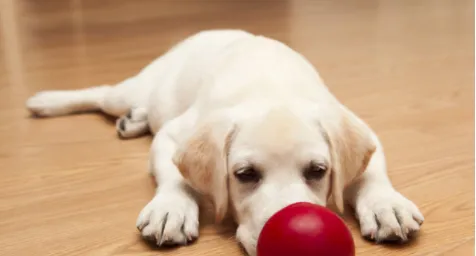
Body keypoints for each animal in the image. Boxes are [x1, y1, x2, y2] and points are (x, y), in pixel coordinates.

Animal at [25, 29, 424, 254]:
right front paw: (171, 208)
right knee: (103, 95)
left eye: (318, 170)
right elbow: (175, 176)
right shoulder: (173, 135)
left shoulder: (361, 128)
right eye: (245, 175)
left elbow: (372, 173)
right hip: (134, 89)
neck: (271, 89)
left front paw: (387, 205)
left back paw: (133, 120)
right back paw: (46, 102)